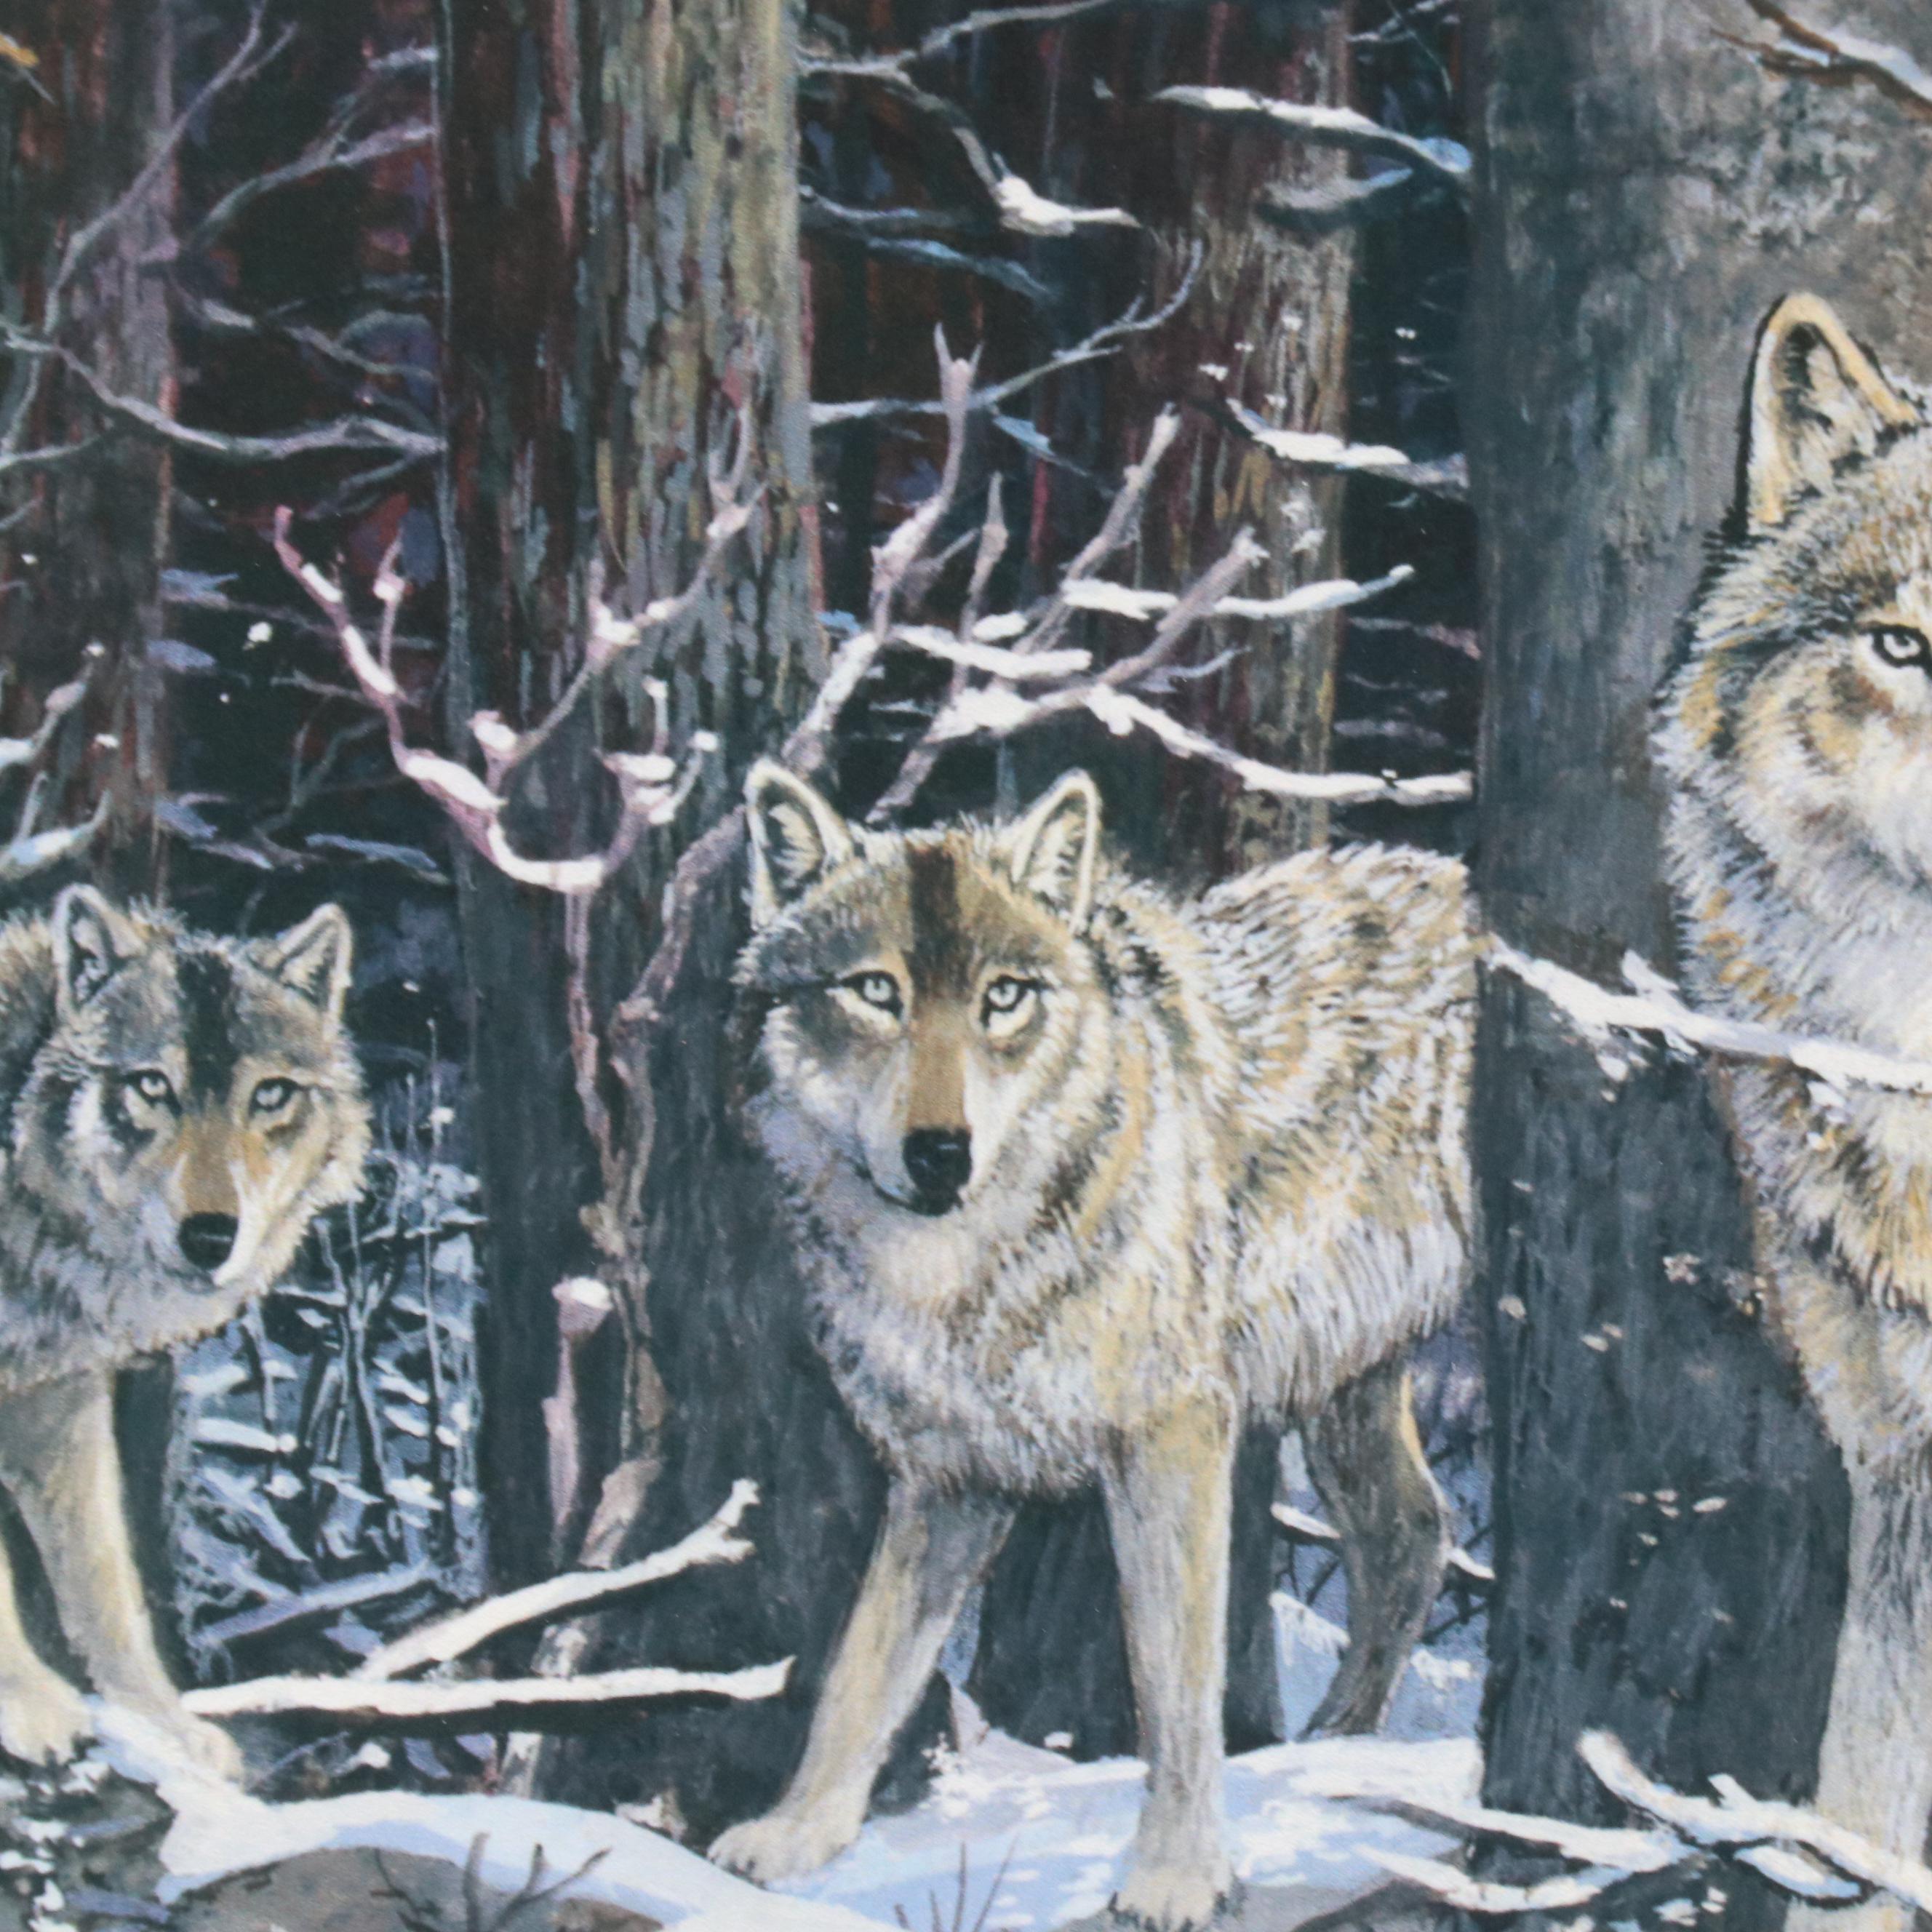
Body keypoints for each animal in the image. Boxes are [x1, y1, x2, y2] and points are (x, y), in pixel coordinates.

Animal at [0, 885, 369, 1776]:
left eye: (269, 1094)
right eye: (151, 1085)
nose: (209, 1237)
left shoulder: (57, 1396)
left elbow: (107, 1581)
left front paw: (161, 1729)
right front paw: (28, 1705)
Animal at [709, 762, 1476, 1929]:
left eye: (1004, 997)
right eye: (876, 991)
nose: (939, 1153)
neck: (974, 1274)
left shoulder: (1173, 1438)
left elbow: (1174, 1687)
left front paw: (1176, 1875)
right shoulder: (949, 1475)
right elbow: (862, 1670)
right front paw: (797, 1838)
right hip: (1346, 1387)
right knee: (1412, 1533)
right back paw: (1332, 1750)